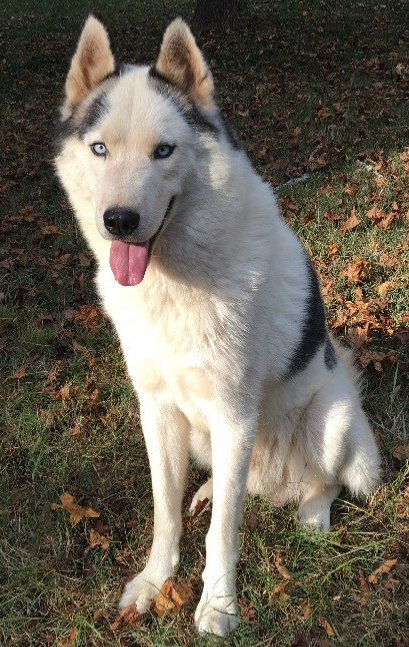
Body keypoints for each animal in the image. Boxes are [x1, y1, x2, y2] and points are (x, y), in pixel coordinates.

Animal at [54, 15, 381, 636]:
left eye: (163, 151)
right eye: (100, 148)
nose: (119, 222)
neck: (174, 281)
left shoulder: (234, 417)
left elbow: (222, 536)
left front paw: (219, 604)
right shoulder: (158, 411)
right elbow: (166, 514)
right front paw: (154, 582)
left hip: (330, 426)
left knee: (323, 482)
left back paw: (311, 515)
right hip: (208, 439)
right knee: (234, 485)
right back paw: (207, 490)